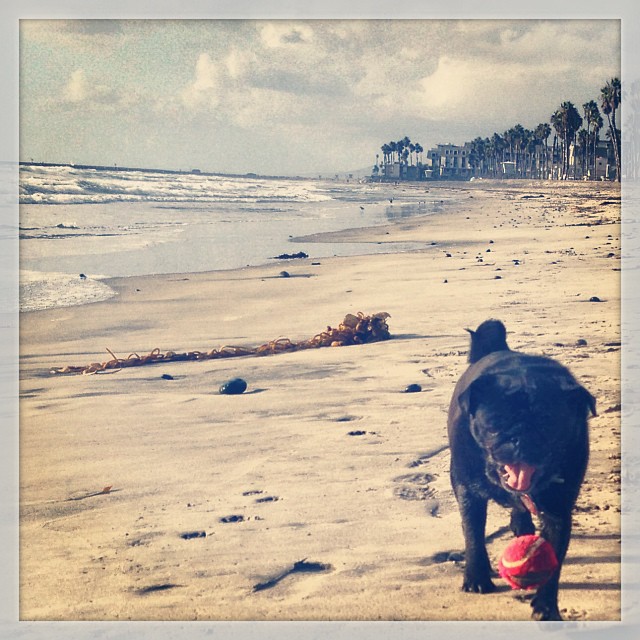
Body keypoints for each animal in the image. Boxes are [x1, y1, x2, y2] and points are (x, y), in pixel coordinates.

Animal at [448, 320, 596, 620]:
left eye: (549, 426)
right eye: (493, 425)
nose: (520, 438)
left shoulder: (558, 510)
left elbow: (555, 558)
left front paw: (546, 606)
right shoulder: (467, 491)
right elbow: (473, 533)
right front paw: (476, 577)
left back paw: (521, 523)